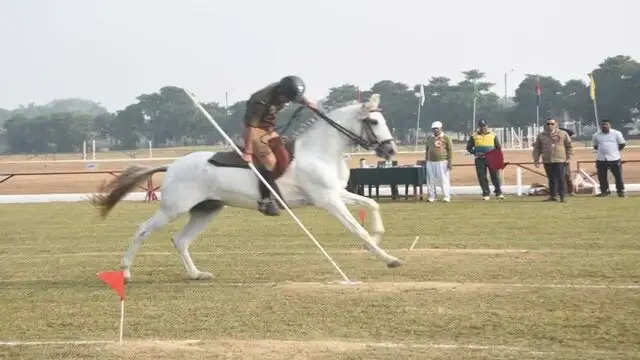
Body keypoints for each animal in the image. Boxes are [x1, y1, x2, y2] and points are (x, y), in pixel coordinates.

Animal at [92, 95, 402, 282]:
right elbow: (357, 229)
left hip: (207, 210)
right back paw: (125, 271)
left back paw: (196, 274)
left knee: (180, 240)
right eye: (374, 121)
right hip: (173, 208)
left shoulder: (337, 194)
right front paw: (388, 258)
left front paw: (378, 237)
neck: (319, 151)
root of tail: (172, 166)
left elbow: (372, 204)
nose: (390, 151)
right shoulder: (328, 200)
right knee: (143, 229)